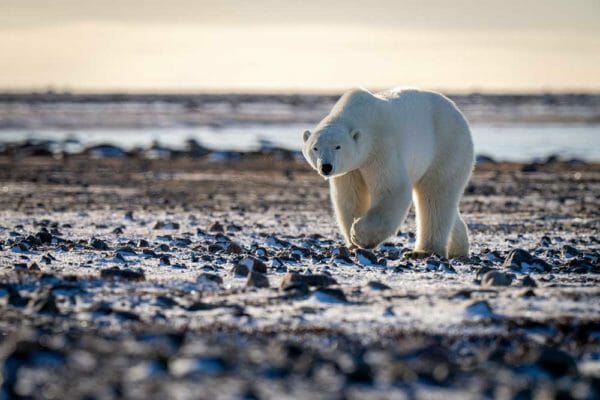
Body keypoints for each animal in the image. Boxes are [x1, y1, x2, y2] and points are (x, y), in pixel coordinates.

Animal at [304, 86, 474, 260]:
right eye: (315, 148)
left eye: (338, 146)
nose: (326, 167)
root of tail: (458, 113)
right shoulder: (351, 169)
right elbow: (350, 197)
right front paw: (352, 243)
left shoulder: (381, 147)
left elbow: (392, 189)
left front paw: (358, 235)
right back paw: (458, 248)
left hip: (447, 146)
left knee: (435, 195)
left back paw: (423, 251)